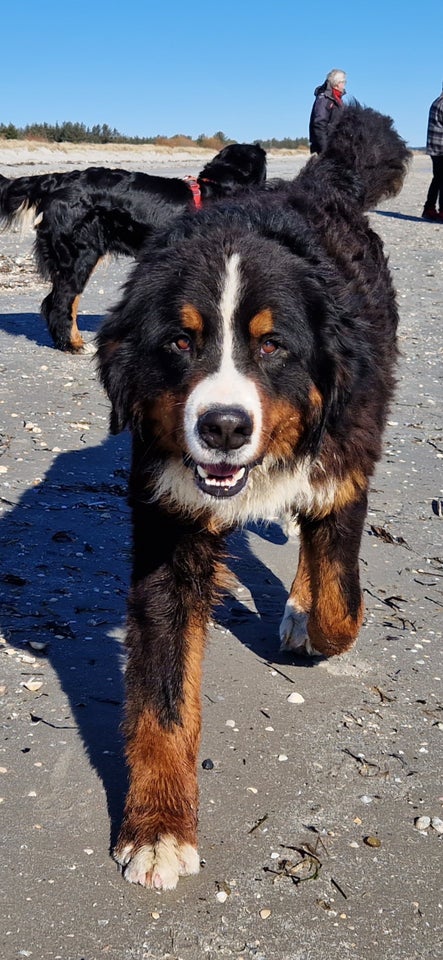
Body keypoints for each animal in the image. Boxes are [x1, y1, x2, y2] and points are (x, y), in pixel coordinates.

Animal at [95, 107, 412, 892]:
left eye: (272, 347)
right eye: (180, 341)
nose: (224, 426)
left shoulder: (342, 472)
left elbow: (341, 605)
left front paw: (309, 616)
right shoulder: (169, 532)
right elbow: (163, 699)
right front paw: (158, 827)